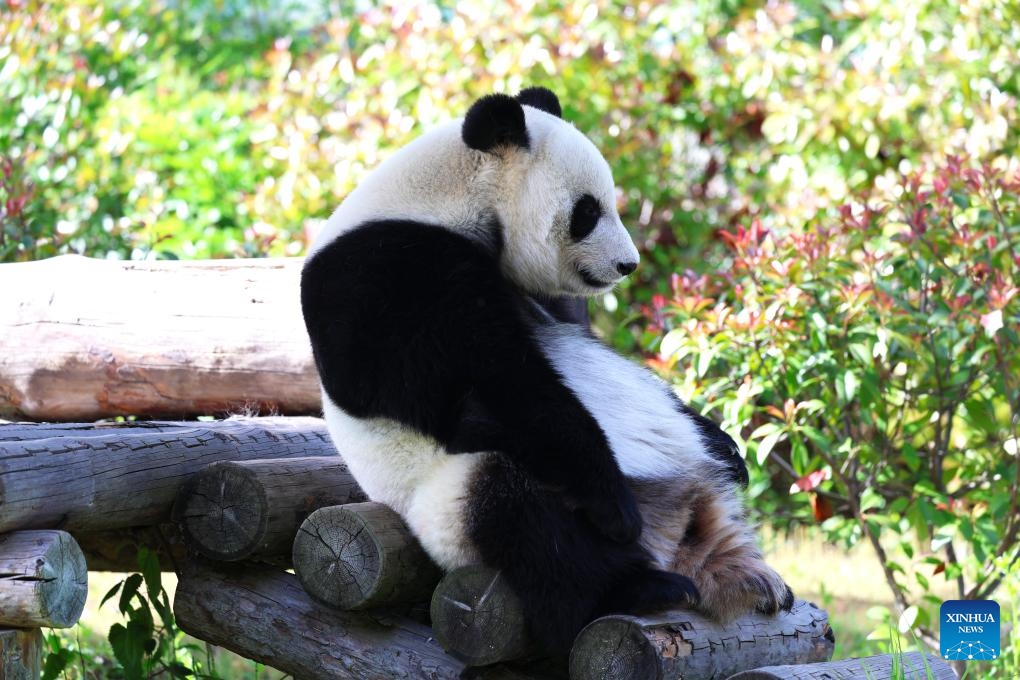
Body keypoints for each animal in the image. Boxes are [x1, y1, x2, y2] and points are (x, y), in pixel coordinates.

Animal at [300, 87, 793, 654]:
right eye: (588, 211)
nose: (628, 264)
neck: (449, 197)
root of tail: (670, 538)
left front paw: (726, 445)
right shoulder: (383, 276)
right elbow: (494, 387)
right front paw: (613, 504)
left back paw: (746, 576)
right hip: (451, 503)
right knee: (526, 522)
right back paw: (641, 584)